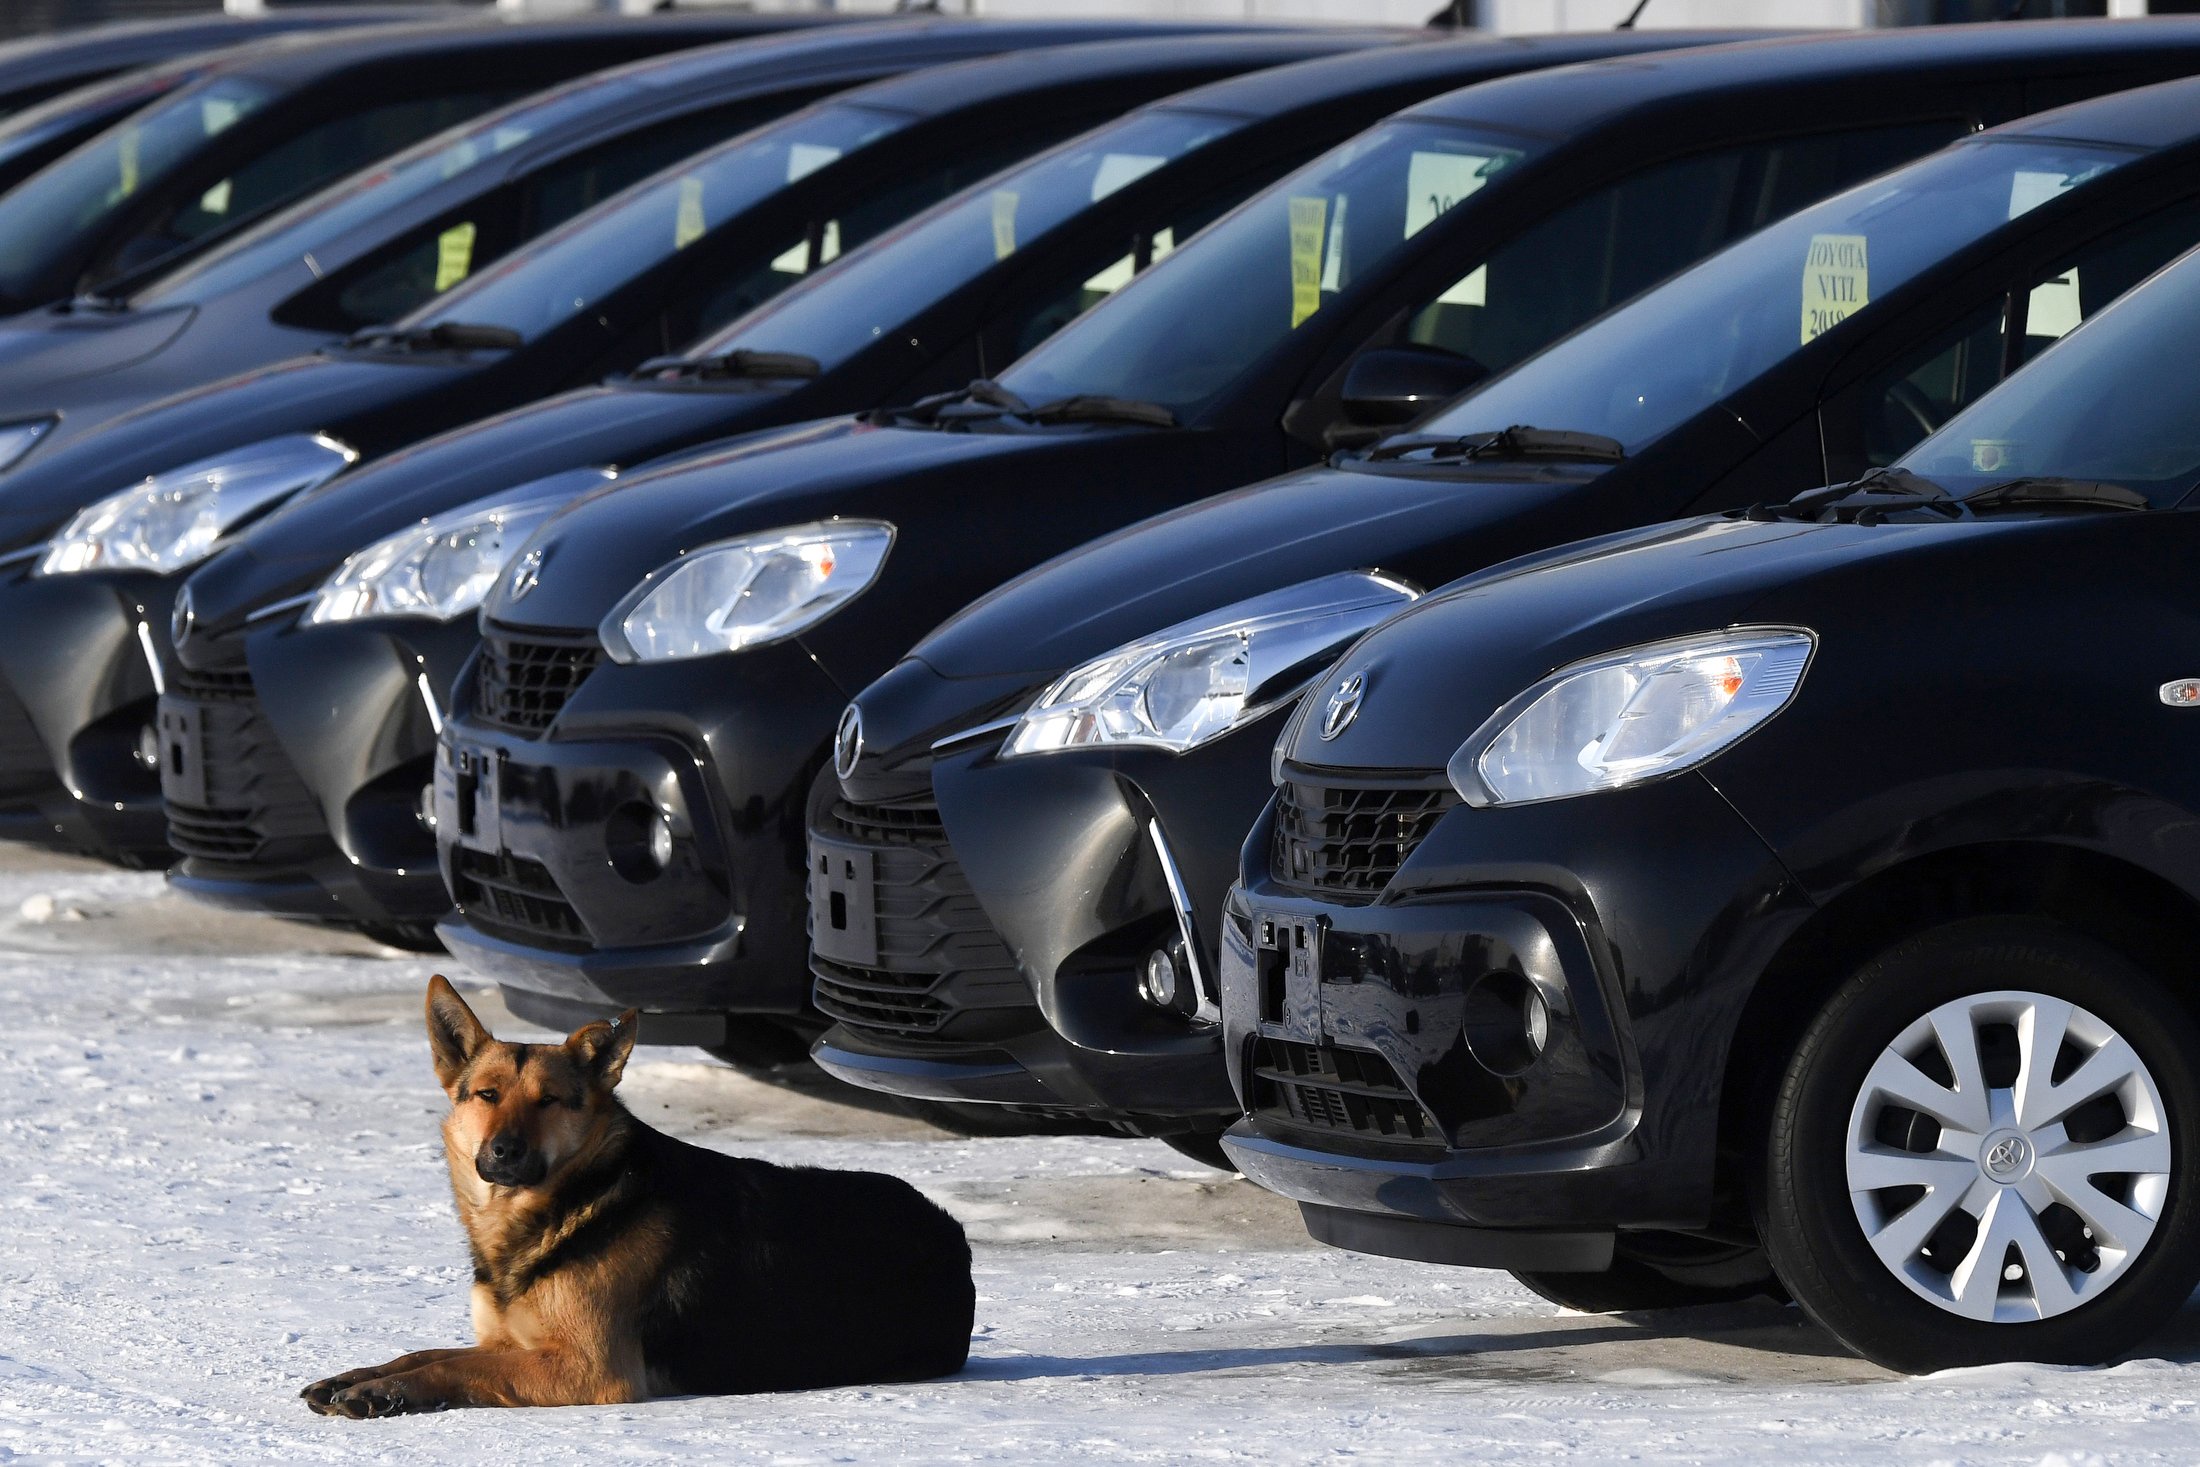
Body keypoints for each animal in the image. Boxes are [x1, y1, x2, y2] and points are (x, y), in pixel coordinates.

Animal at [302, 976, 974, 1416]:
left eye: (549, 1101)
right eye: (487, 1095)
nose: (503, 1153)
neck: (565, 1205)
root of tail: (951, 1230)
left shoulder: (586, 1367)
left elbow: (456, 1365)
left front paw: (381, 1394)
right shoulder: (509, 1343)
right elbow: (423, 1351)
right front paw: (360, 1376)